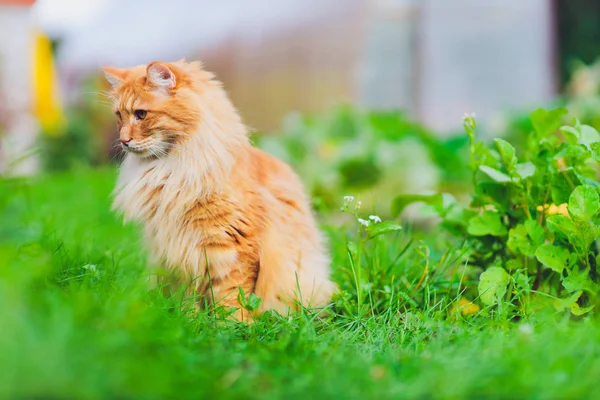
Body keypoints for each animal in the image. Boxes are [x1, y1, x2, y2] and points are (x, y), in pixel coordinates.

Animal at [103, 59, 338, 320]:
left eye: (141, 114)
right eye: (119, 116)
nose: (123, 140)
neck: (171, 170)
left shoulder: (232, 244)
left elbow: (231, 294)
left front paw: (231, 324)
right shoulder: (180, 248)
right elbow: (189, 293)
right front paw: (189, 320)